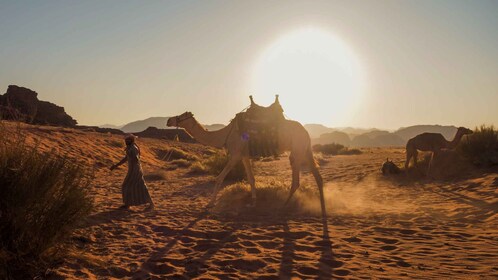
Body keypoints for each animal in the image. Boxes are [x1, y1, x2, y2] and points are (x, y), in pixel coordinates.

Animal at [165, 99, 324, 218]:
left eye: (181, 116)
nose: (168, 120)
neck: (225, 134)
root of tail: (306, 132)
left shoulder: (235, 154)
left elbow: (220, 178)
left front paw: (210, 203)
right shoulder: (244, 156)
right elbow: (251, 179)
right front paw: (253, 203)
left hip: (297, 149)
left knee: (296, 180)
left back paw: (284, 206)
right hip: (305, 150)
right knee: (317, 176)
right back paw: (322, 206)